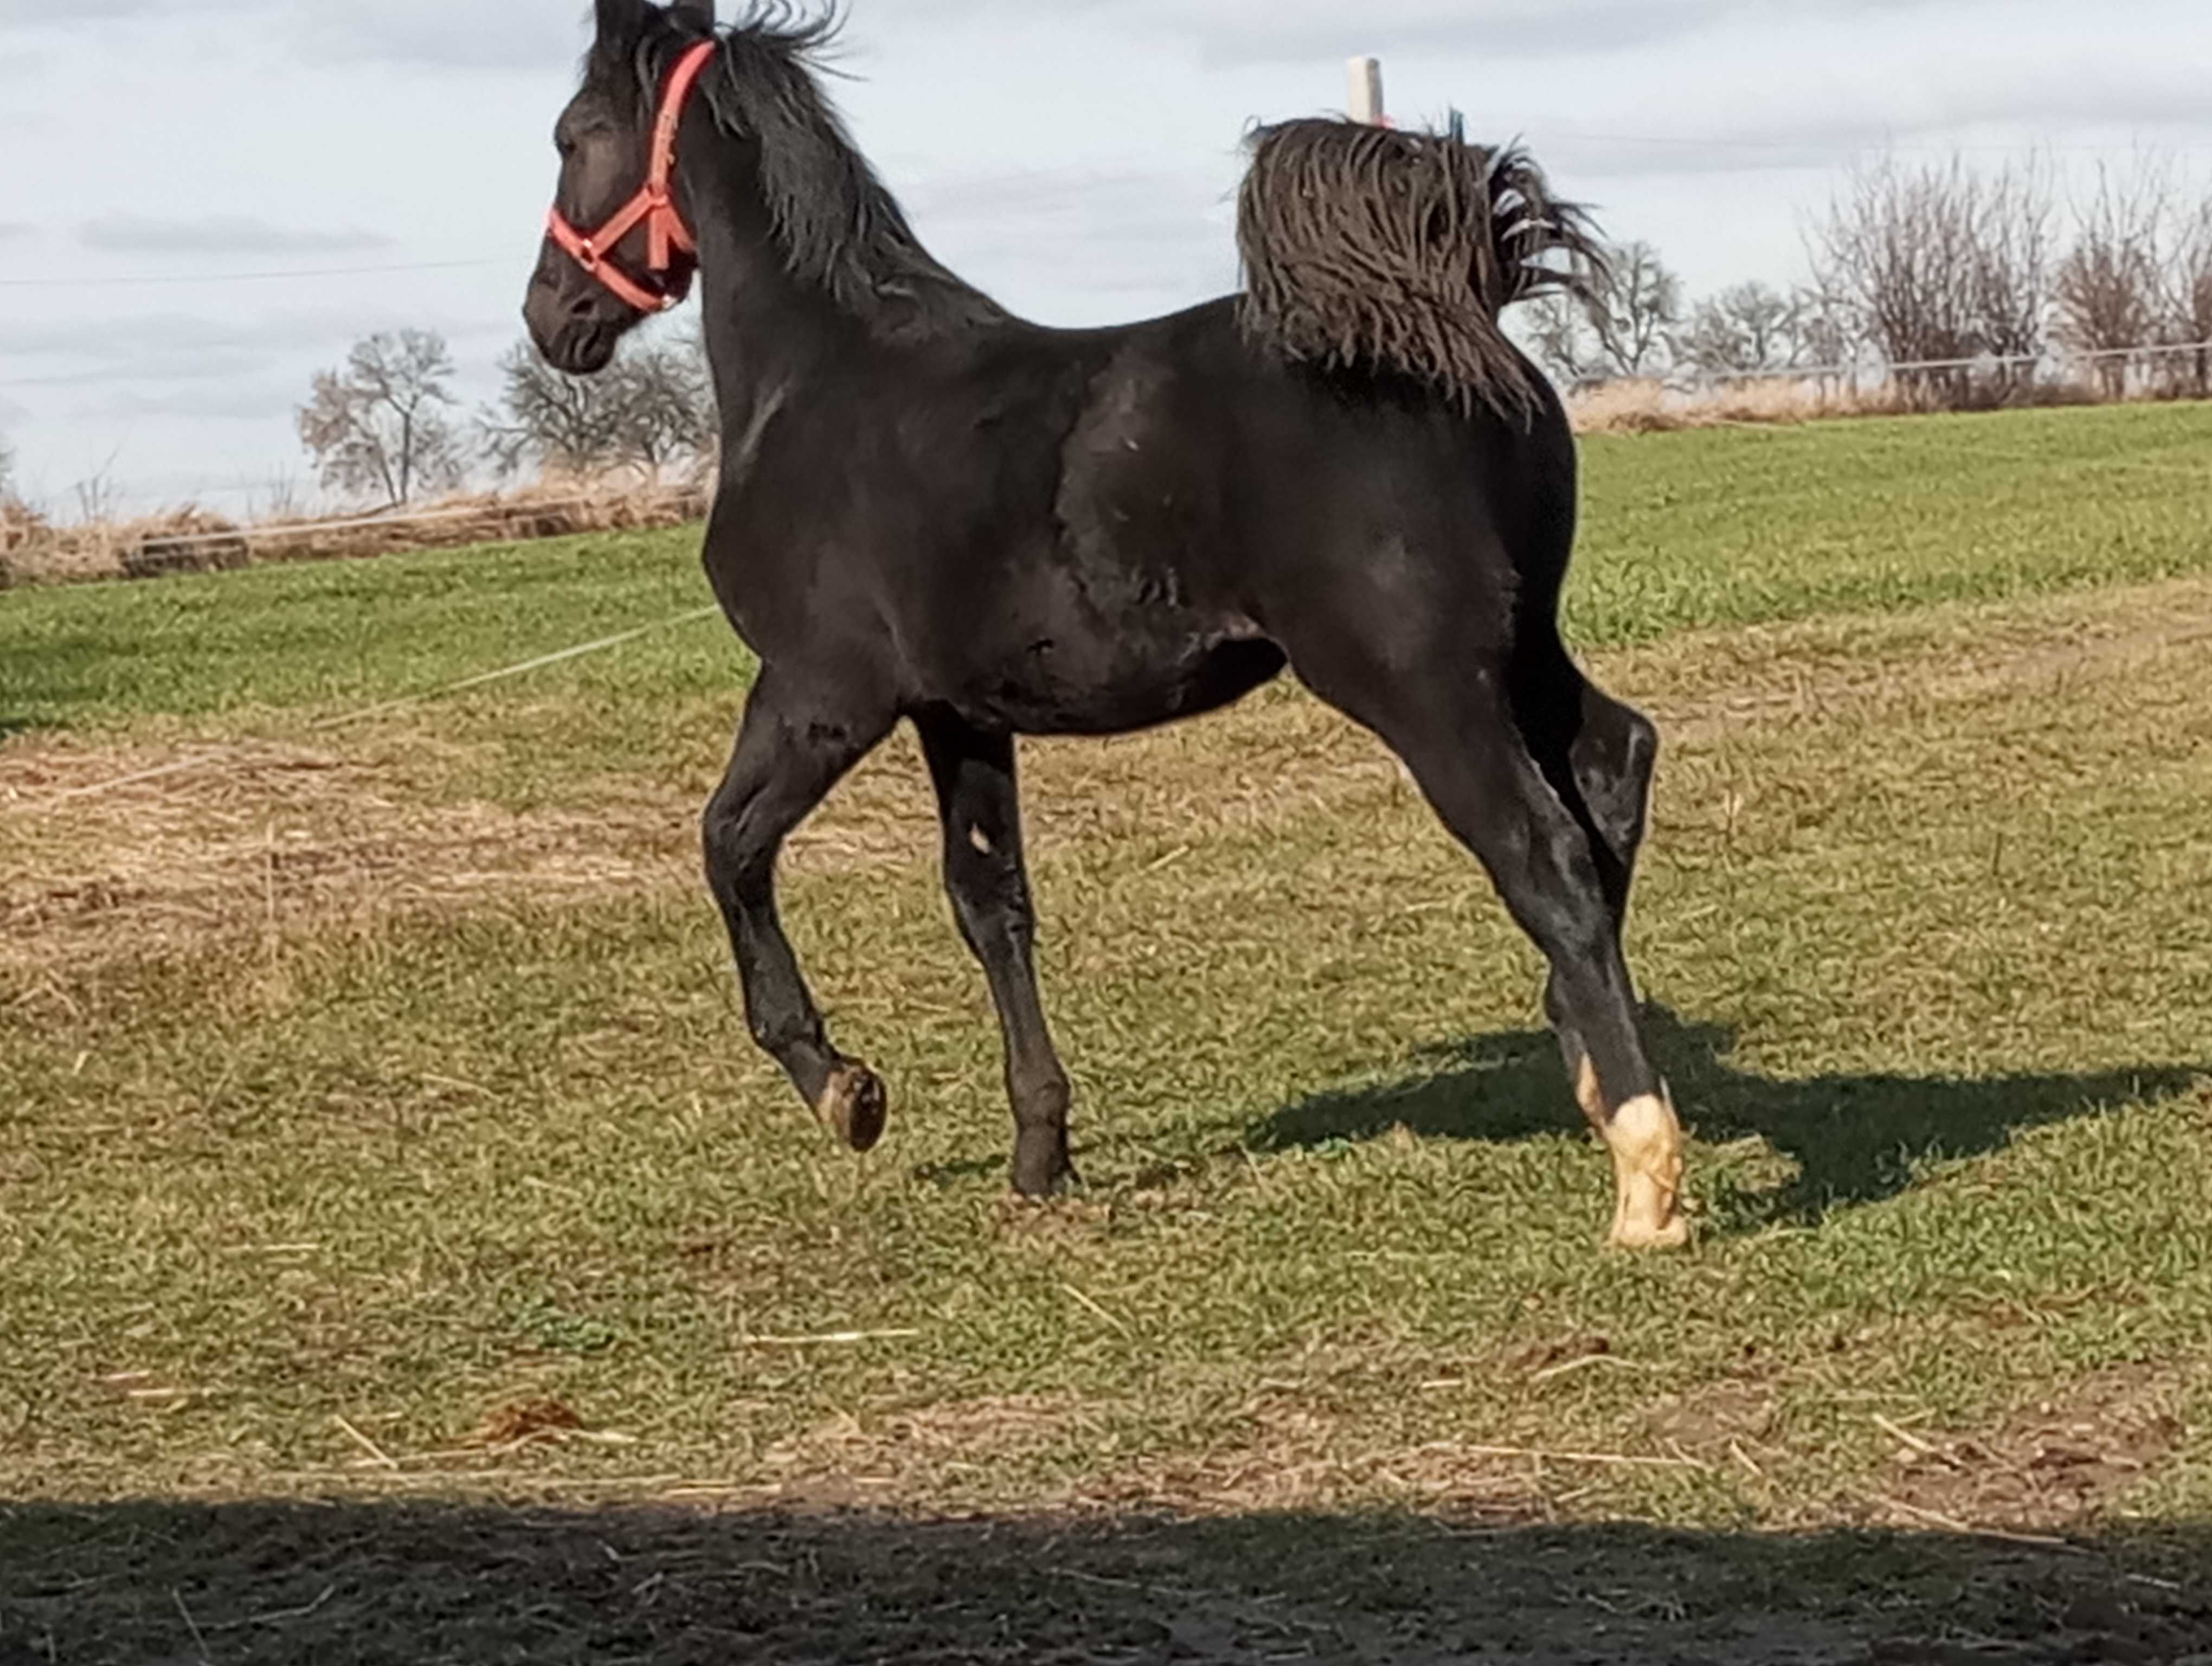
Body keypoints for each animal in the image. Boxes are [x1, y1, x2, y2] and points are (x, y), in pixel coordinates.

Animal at [531, 0, 1690, 1247]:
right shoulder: (959, 714)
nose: (553, 318)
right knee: (1613, 761)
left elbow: (728, 845)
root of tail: (1448, 314)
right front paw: (1039, 1150)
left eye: (575, 133)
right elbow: (990, 904)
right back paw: (1587, 1059)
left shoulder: (822, 693)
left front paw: (842, 1088)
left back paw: (1644, 1172)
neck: (822, 380)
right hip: (1521, 648)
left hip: (1421, 682)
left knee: (1545, 852)